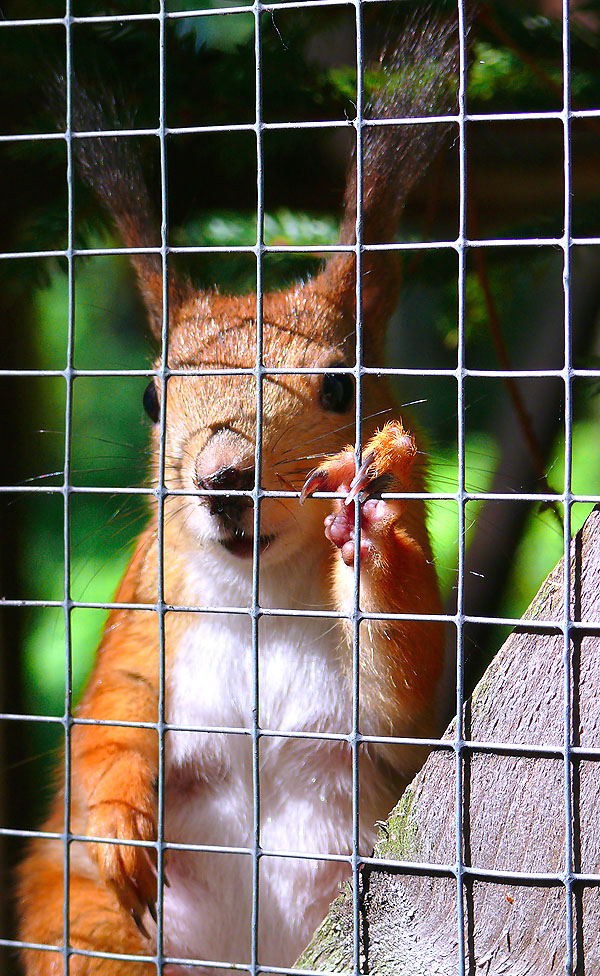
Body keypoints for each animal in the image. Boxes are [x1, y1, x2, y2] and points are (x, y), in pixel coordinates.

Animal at [17, 9, 460, 976]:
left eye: (339, 386)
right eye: (153, 398)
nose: (221, 478)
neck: (261, 591)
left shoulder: (405, 725)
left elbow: (407, 690)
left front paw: (370, 521)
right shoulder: (147, 606)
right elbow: (107, 712)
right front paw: (117, 819)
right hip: (85, 925)